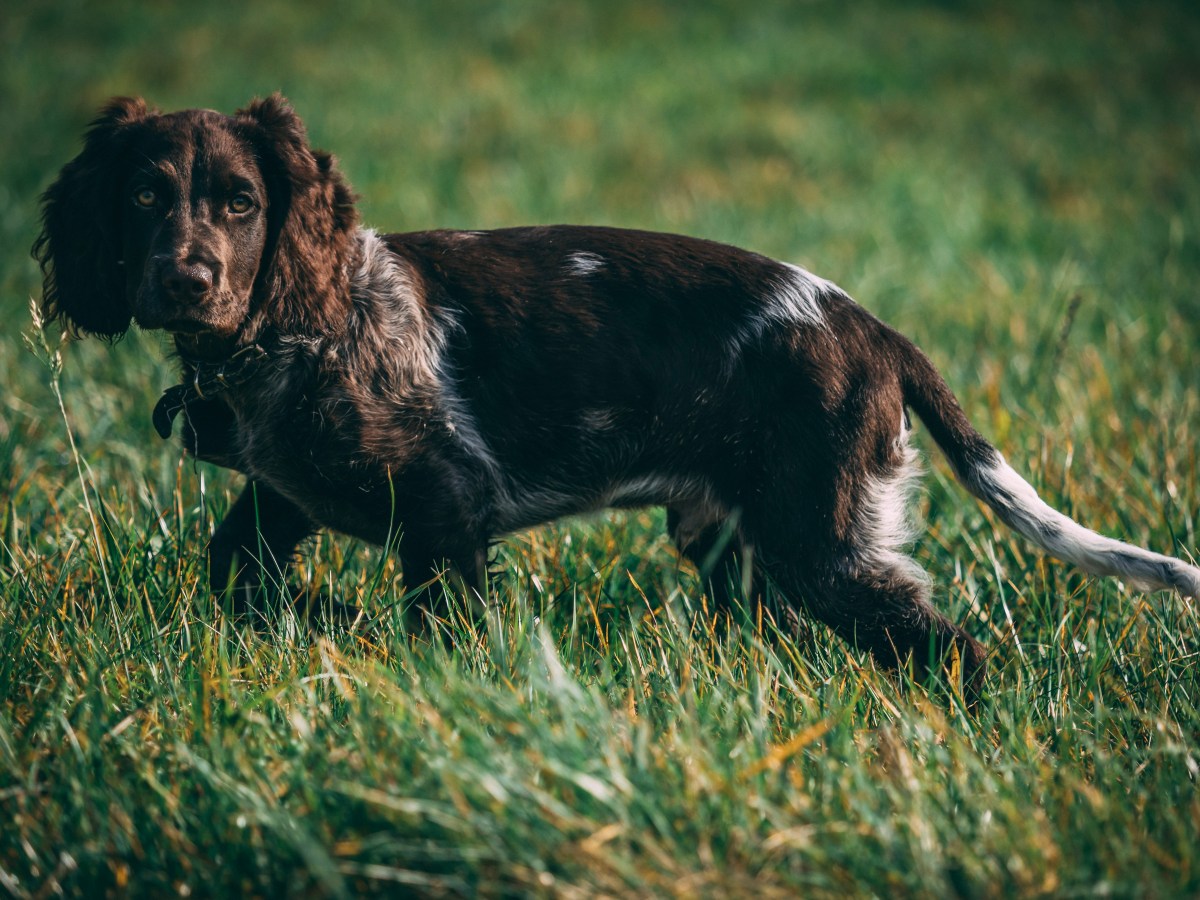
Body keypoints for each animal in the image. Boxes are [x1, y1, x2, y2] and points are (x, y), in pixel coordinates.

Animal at [30, 97, 1200, 691]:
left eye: (241, 201)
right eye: (144, 197)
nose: (185, 281)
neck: (287, 334)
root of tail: (870, 328)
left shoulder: (447, 499)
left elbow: (435, 618)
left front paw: (374, 641)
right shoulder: (282, 495)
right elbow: (234, 569)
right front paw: (321, 618)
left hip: (823, 537)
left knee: (947, 645)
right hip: (739, 545)